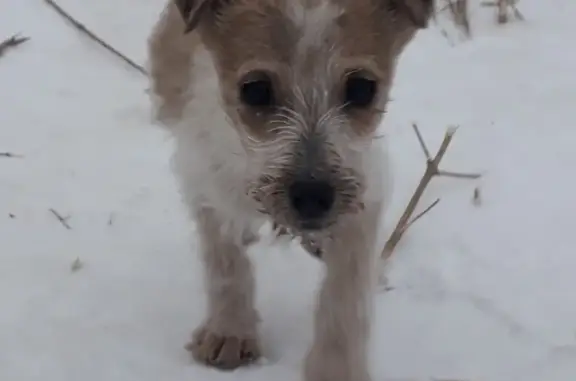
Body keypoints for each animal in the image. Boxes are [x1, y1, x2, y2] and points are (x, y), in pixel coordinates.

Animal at [146, 1, 430, 378]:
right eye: (255, 90)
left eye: (361, 88)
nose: (312, 197)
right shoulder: (204, 180)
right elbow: (225, 262)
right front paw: (230, 330)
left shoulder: (364, 195)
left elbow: (345, 294)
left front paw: (336, 368)